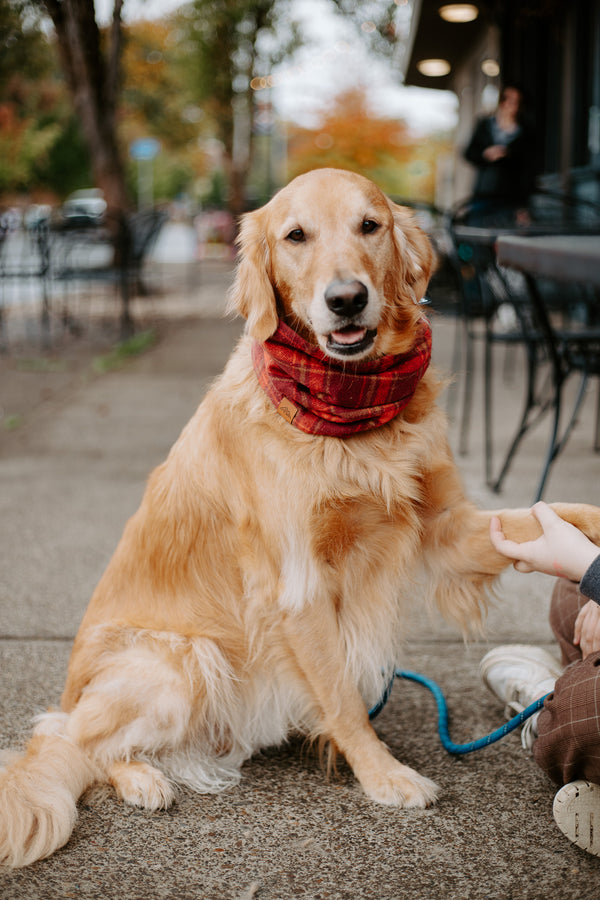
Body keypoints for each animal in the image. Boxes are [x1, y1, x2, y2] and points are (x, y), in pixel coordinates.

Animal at [1, 167, 600, 864]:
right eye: (295, 236)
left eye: (370, 226)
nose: (346, 300)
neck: (349, 416)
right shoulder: (297, 584)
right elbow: (341, 697)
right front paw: (384, 774)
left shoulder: (446, 527)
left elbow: (549, 514)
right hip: (181, 662)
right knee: (72, 737)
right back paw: (143, 778)